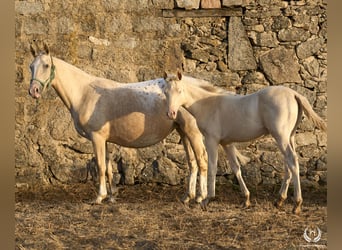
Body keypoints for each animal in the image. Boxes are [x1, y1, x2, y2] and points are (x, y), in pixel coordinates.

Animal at [27, 43, 208, 206]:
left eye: (46, 65)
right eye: (31, 66)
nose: (33, 91)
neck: (85, 93)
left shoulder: (97, 138)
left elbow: (100, 166)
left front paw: (99, 197)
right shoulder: (104, 140)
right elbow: (108, 168)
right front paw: (112, 196)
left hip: (193, 132)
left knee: (202, 161)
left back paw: (200, 198)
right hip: (183, 131)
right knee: (192, 163)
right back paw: (187, 197)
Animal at [164, 71, 328, 214]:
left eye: (179, 90)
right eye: (165, 92)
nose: (171, 114)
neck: (209, 105)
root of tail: (294, 94)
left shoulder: (212, 140)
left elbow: (212, 167)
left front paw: (207, 199)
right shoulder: (227, 143)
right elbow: (236, 168)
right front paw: (246, 199)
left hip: (281, 136)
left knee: (292, 161)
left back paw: (297, 204)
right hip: (290, 137)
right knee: (289, 164)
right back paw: (280, 200)